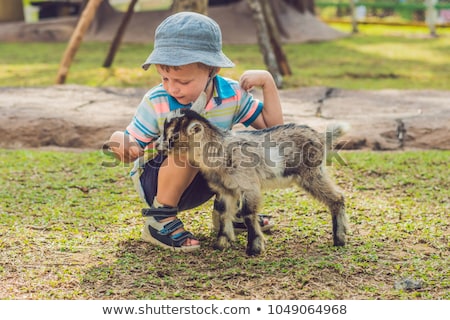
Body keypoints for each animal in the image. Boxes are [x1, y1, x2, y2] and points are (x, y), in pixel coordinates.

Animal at [159, 102, 352, 255]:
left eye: (174, 135)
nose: (159, 146)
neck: (220, 150)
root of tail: (320, 136)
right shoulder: (226, 190)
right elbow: (223, 213)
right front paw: (222, 243)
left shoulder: (248, 186)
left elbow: (247, 214)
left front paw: (254, 248)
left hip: (311, 174)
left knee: (337, 197)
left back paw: (339, 239)